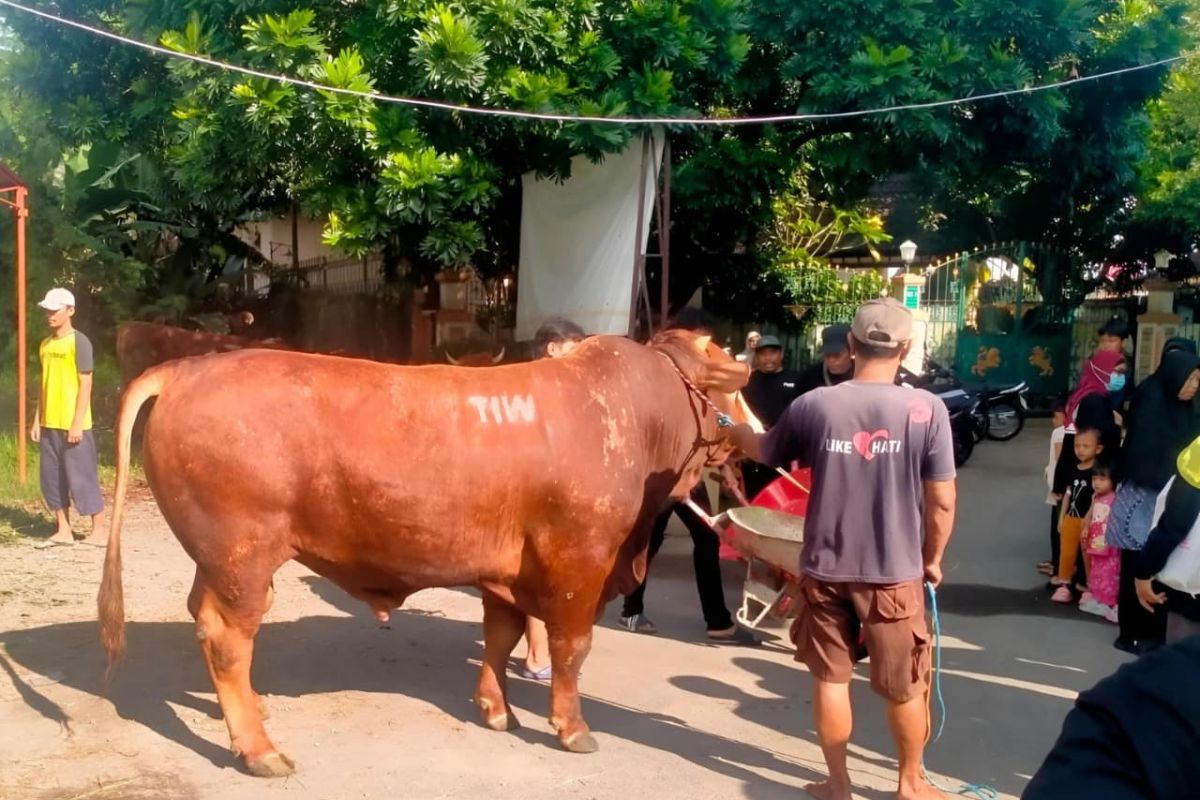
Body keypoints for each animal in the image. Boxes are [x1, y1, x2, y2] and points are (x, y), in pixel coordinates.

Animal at [98, 330, 752, 777]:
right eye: (728, 389)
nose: (754, 438)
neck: (629, 419)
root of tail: (189, 367)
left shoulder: (508, 571)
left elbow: (501, 635)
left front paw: (495, 708)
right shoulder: (578, 561)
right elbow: (571, 647)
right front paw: (571, 728)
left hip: (217, 560)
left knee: (204, 620)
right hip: (243, 557)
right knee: (228, 638)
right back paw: (259, 750)